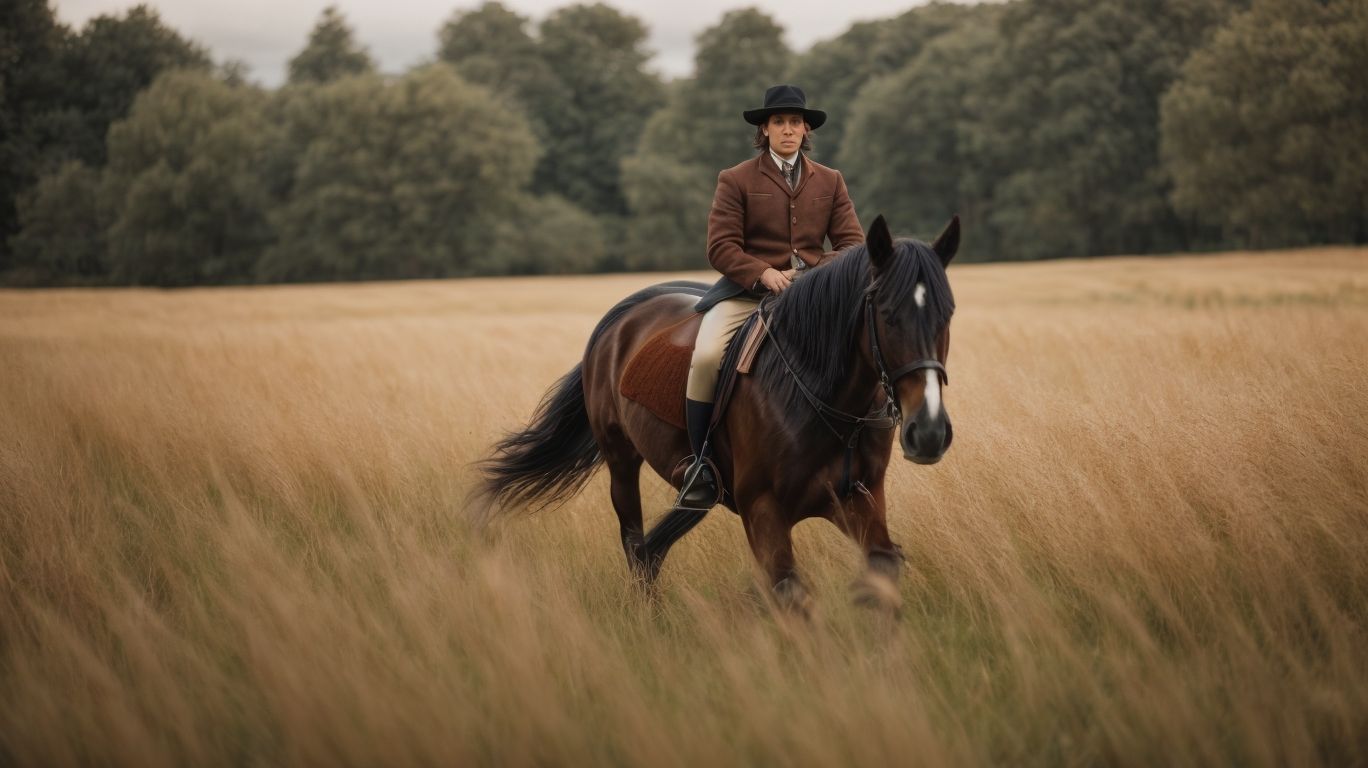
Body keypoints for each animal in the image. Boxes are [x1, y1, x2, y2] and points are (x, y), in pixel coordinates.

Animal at [472, 214, 957, 613]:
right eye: (888, 314)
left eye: (947, 314)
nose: (929, 433)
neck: (824, 397)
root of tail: (622, 315)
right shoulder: (764, 509)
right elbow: (789, 591)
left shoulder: (859, 498)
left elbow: (883, 568)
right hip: (621, 460)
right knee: (634, 543)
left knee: (652, 550)